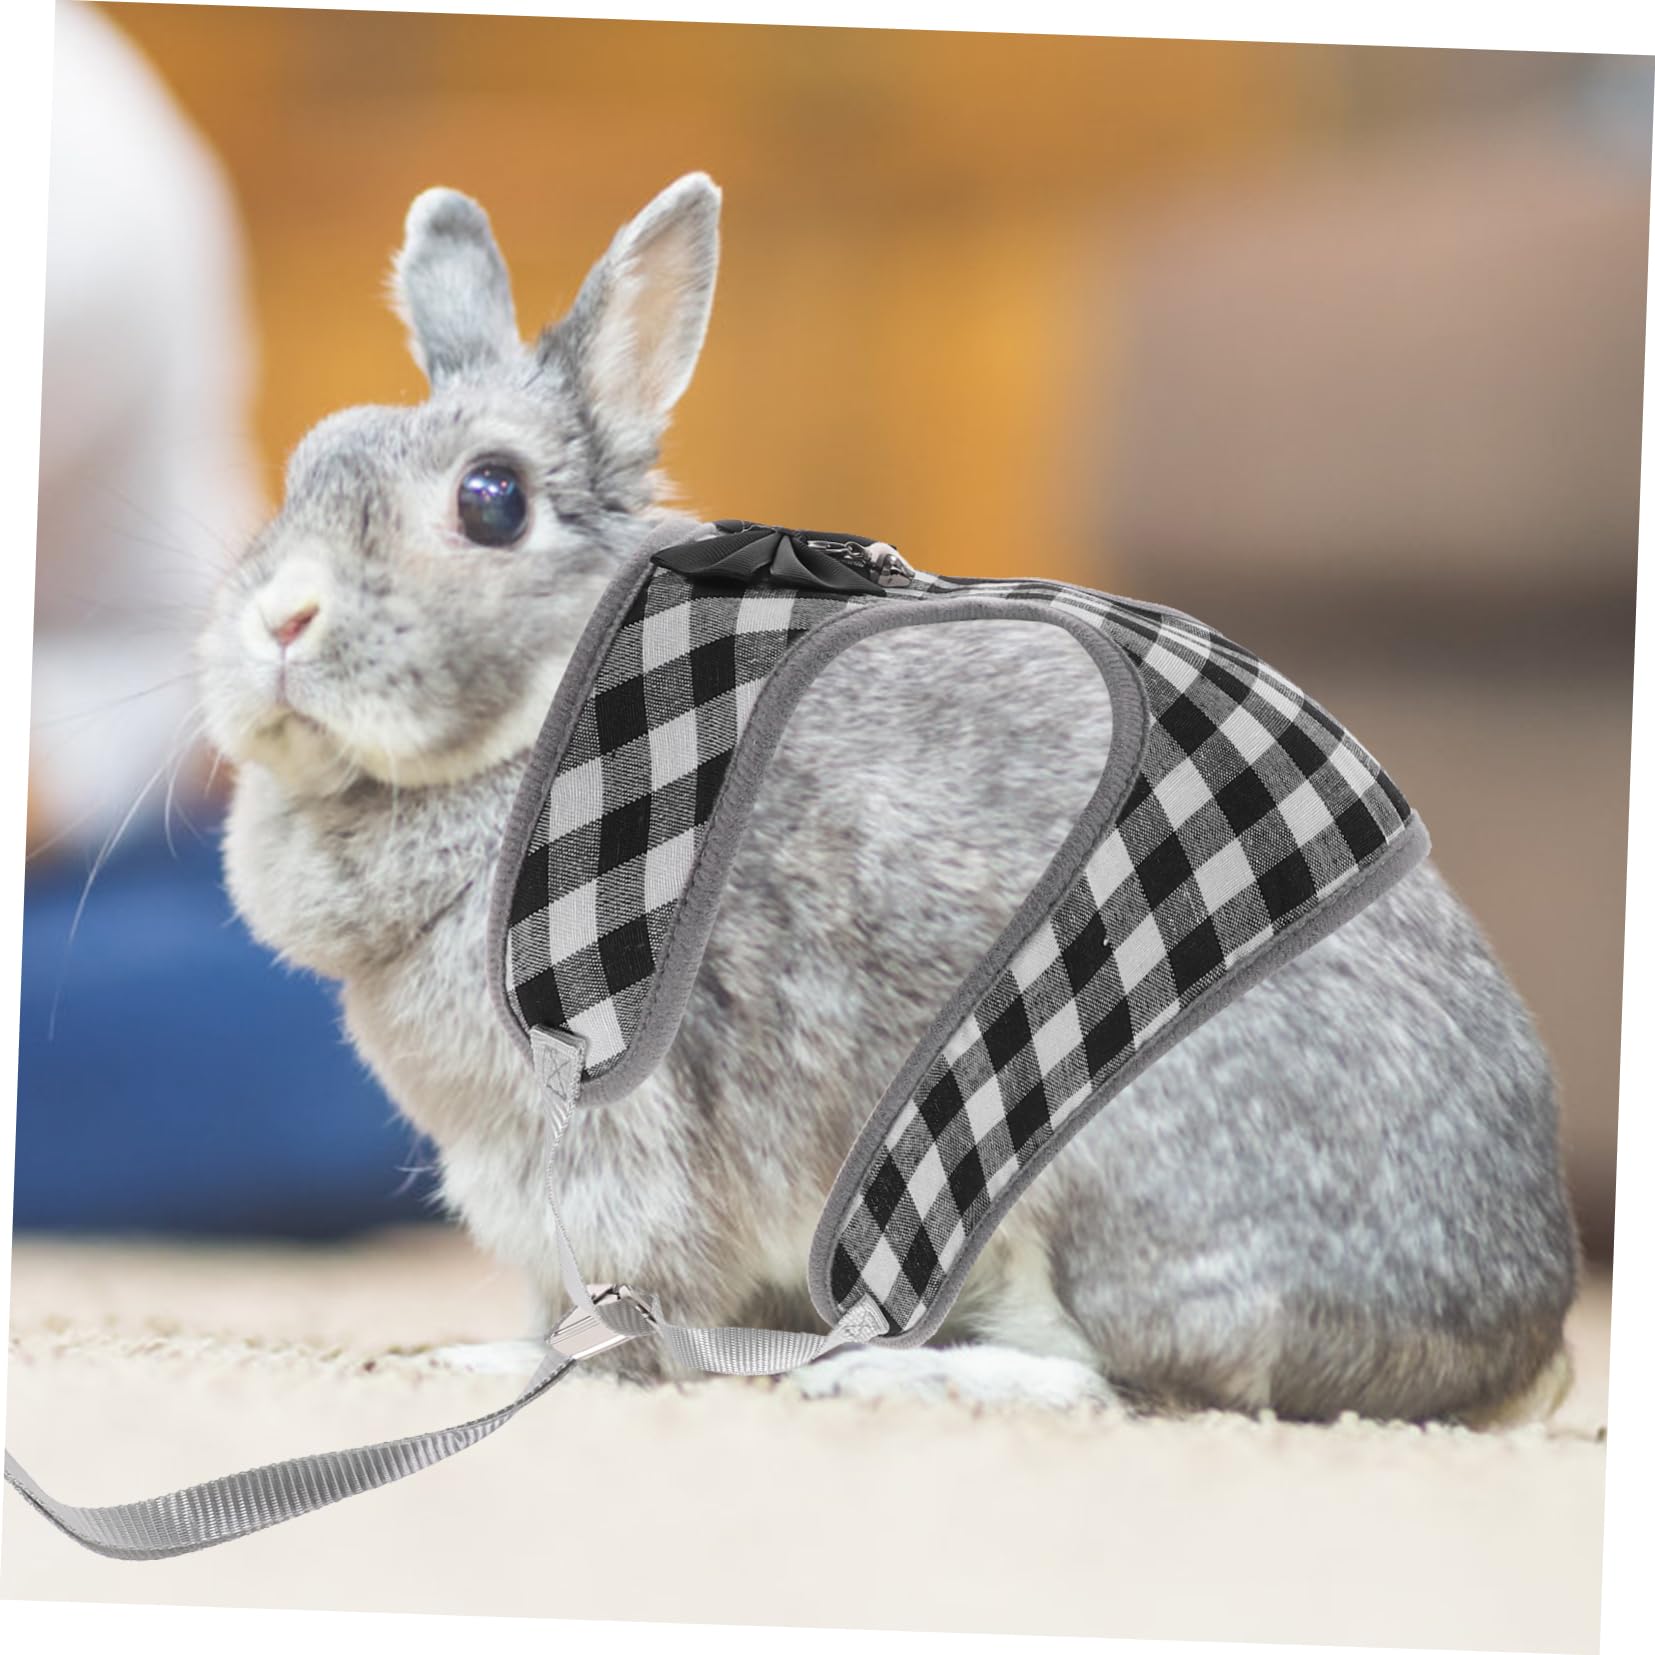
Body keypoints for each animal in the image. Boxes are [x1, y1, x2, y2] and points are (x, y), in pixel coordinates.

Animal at [197, 173, 1580, 1424]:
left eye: (490, 500)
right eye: (306, 463)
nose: (278, 622)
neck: (559, 710)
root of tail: (1514, 1338)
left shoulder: (610, 1143)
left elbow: (606, 1312)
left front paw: (484, 1365)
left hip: (1090, 1183)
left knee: (1138, 1385)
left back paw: (895, 1373)